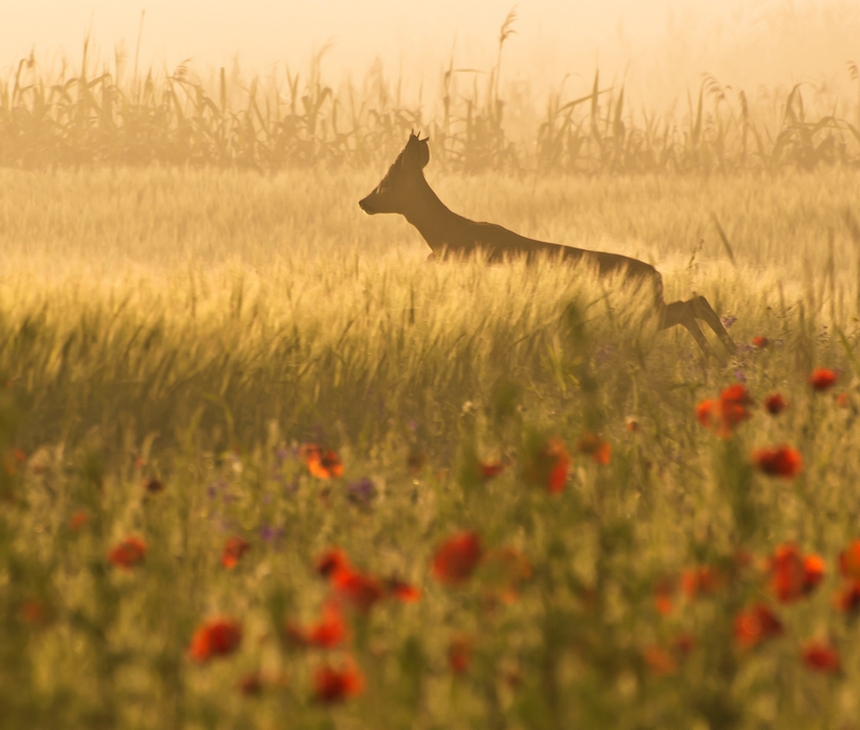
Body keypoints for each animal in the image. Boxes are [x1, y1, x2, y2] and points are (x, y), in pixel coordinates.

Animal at [360, 132, 736, 360]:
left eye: (387, 182)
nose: (364, 201)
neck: (443, 235)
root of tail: (656, 275)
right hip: (644, 309)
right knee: (694, 302)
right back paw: (720, 357)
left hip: (642, 309)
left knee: (692, 305)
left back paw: (724, 355)